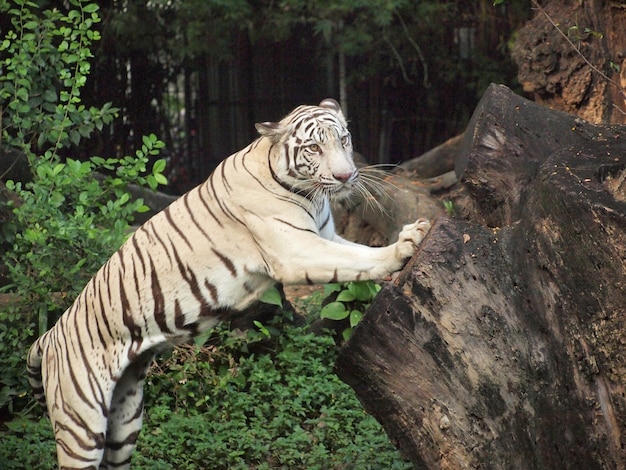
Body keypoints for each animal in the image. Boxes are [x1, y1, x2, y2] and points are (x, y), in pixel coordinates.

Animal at [28, 97, 428, 468]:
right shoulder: (296, 249)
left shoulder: (327, 236)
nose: (347, 177)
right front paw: (406, 245)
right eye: (314, 148)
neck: (309, 194)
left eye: (343, 140)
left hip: (124, 420)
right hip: (83, 424)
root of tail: (49, 336)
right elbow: (356, 261)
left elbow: (357, 255)